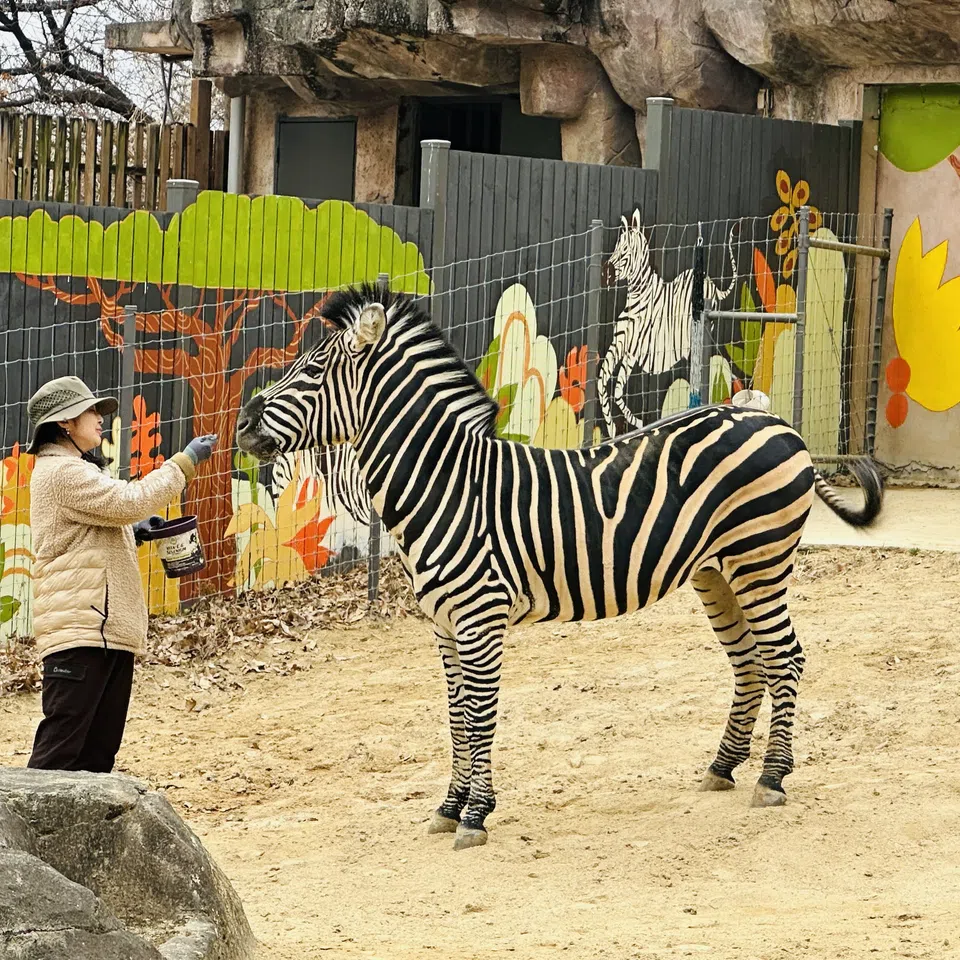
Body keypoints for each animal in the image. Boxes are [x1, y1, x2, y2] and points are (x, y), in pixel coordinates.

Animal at [236, 284, 883, 852]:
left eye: (314, 369)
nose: (241, 424)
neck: (446, 482)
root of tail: (777, 423)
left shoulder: (480, 617)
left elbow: (479, 716)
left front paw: (475, 815)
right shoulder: (443, 624)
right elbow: (455, 718)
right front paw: (449, 807)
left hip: (760, 559)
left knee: (785, 658)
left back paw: (772, 777)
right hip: (715, 571)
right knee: (750, 661)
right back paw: (723, 767)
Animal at [599, 209, 738, 437]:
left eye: (626, 249)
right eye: (616, 247)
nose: (606, 274)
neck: (637, 296)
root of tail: (711, 284)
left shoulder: (633, 350)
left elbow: (614, 388)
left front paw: (631, 424)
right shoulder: (622, 347)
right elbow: (606, 382)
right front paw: (616, 428)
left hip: (695, 339)